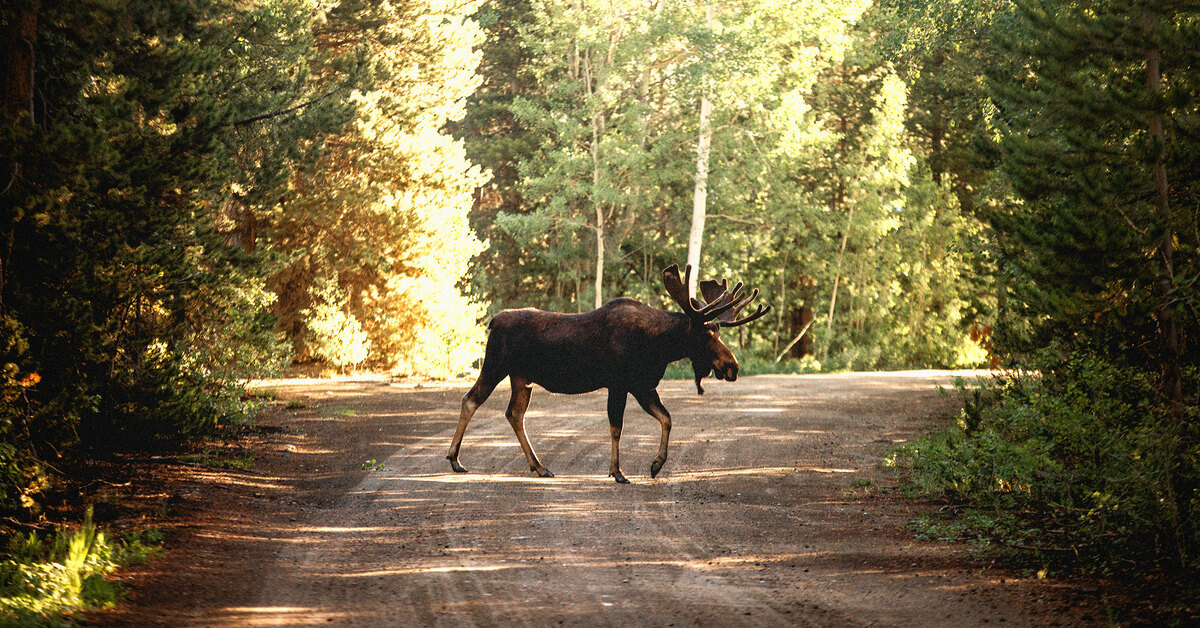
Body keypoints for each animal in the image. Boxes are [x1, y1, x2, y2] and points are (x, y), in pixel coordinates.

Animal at [448, 262, 768, 485]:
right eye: (706, 334)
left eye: (718, 332)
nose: (732, 366)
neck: (659, 347)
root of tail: (493, 321)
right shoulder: (619, 383)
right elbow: (617, 427)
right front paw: (618, 471)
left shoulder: (642, 385)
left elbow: (667, 418)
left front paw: (656, 465)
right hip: (496, 364)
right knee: (470, 400)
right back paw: (454, 459)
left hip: (521, 378)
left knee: (514, 413)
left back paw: (539, 466)